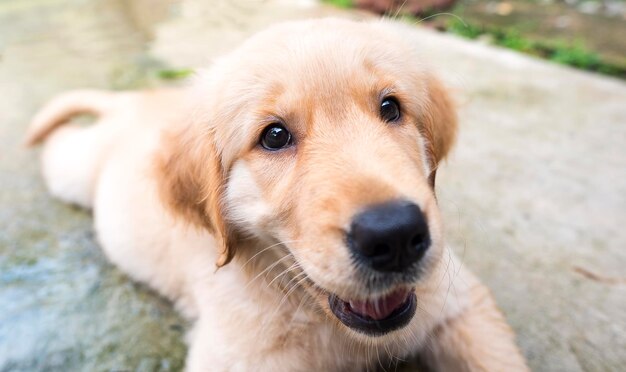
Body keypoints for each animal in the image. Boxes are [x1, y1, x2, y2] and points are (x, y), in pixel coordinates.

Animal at [28, 18, 528, 372]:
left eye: (391, 108)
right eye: (274, 136)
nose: (396, 235)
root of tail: (134, 100)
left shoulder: (460, 304)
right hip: (74, 171)